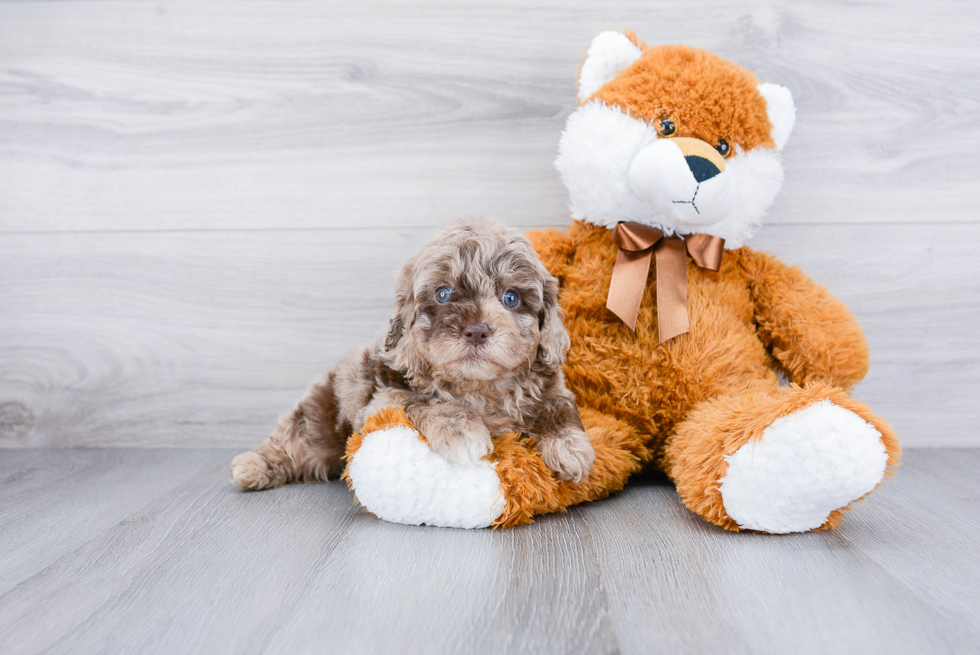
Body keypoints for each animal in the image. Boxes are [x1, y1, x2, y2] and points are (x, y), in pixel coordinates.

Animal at [232, 217, 596, 492]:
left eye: (511, 298)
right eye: (443, 293)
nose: (477, 331)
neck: (479, 388)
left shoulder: (554, 389)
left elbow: (559, 409)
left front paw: (570, 447)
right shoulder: (381, 400)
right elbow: (427, 401)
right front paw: (461, 431)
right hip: (319, 414)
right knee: (292, 440)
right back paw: (253, 466)